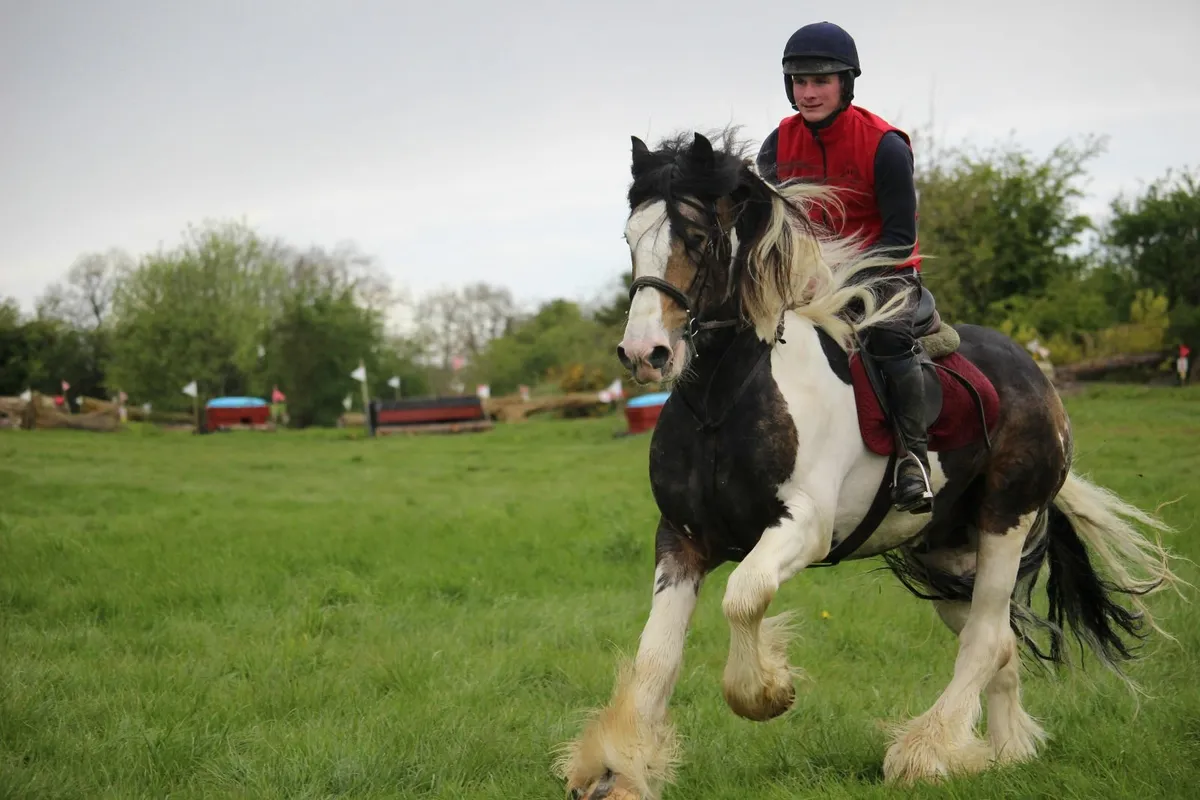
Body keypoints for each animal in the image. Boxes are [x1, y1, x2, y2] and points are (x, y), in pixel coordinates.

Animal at [554, 129, 1182, 799]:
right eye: (630, 238)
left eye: (697, 239)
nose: (645, 353)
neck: (722, 401)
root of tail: (1035, 374)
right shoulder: (682, 537)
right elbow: (657, 657)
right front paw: (616, 770)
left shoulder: (804, 526)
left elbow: (745, 596)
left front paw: (766, 691)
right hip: (946, 552)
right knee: (999, 643)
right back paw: (1005, 752)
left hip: (1005, 519)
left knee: (987, 638)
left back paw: (925, 753)